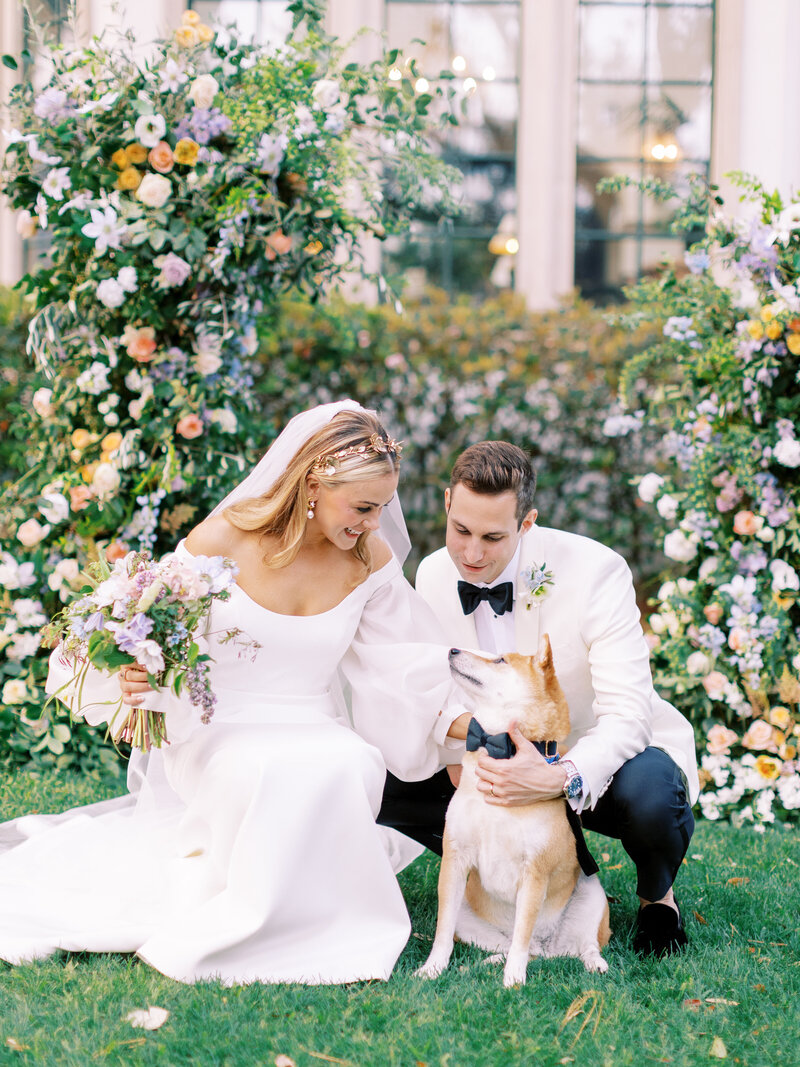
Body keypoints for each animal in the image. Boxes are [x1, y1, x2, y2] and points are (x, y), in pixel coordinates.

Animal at [416, 635, 610, 985]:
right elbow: (442, 931)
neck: (498, 746)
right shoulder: (454, 858)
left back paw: (595, 964)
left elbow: (522, 934)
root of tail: (547, 949)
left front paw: (514, 980)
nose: (451, 650)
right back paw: (486, 962)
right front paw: (433, 968)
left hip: (593, 894)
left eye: (500, 660)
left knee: (583, 945)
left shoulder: (534, 871)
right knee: (507, 946)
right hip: (468, 912)